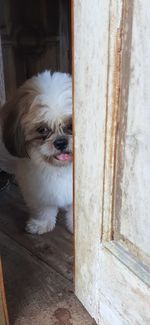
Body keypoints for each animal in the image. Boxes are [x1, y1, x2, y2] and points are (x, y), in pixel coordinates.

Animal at [0, 70, 72, 233]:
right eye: (42, 129)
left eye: (71, 125)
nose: (61, 142)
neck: (60, 169)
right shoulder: (37, 190)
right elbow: (43, 209)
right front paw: (41, 224)